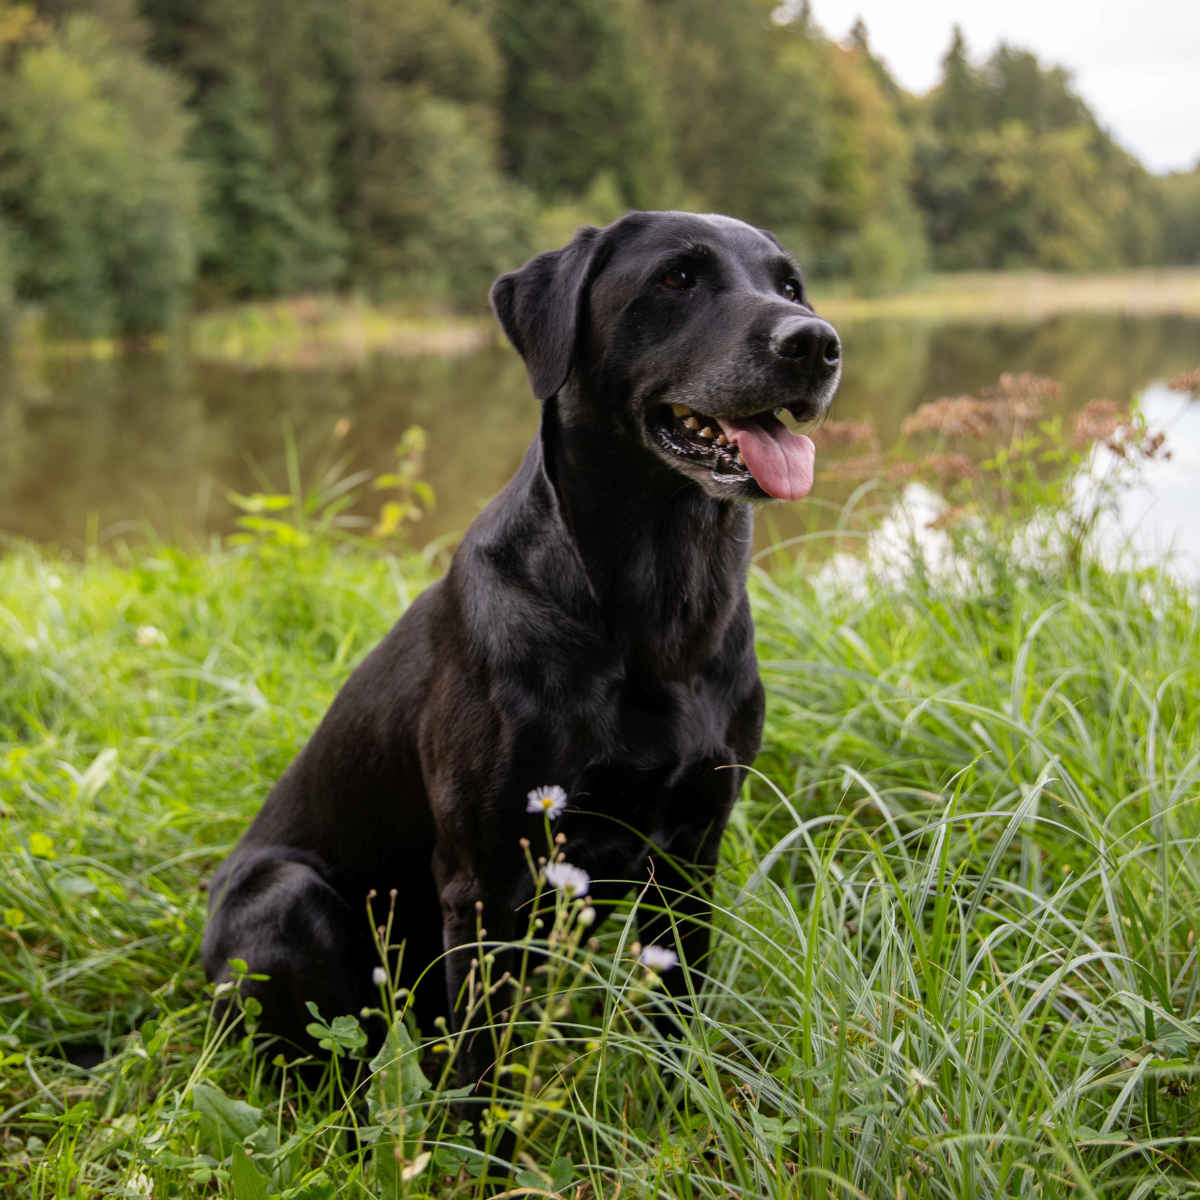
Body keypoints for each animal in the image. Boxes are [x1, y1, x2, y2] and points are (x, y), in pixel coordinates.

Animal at [202, 211, 841, 1089]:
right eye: (677, 278)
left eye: (790, 286)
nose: (816, 343)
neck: (660, 607)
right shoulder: (486, 880)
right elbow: (481, 1076)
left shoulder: (692, 855)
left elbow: (678, 1024)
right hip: (290, 898)